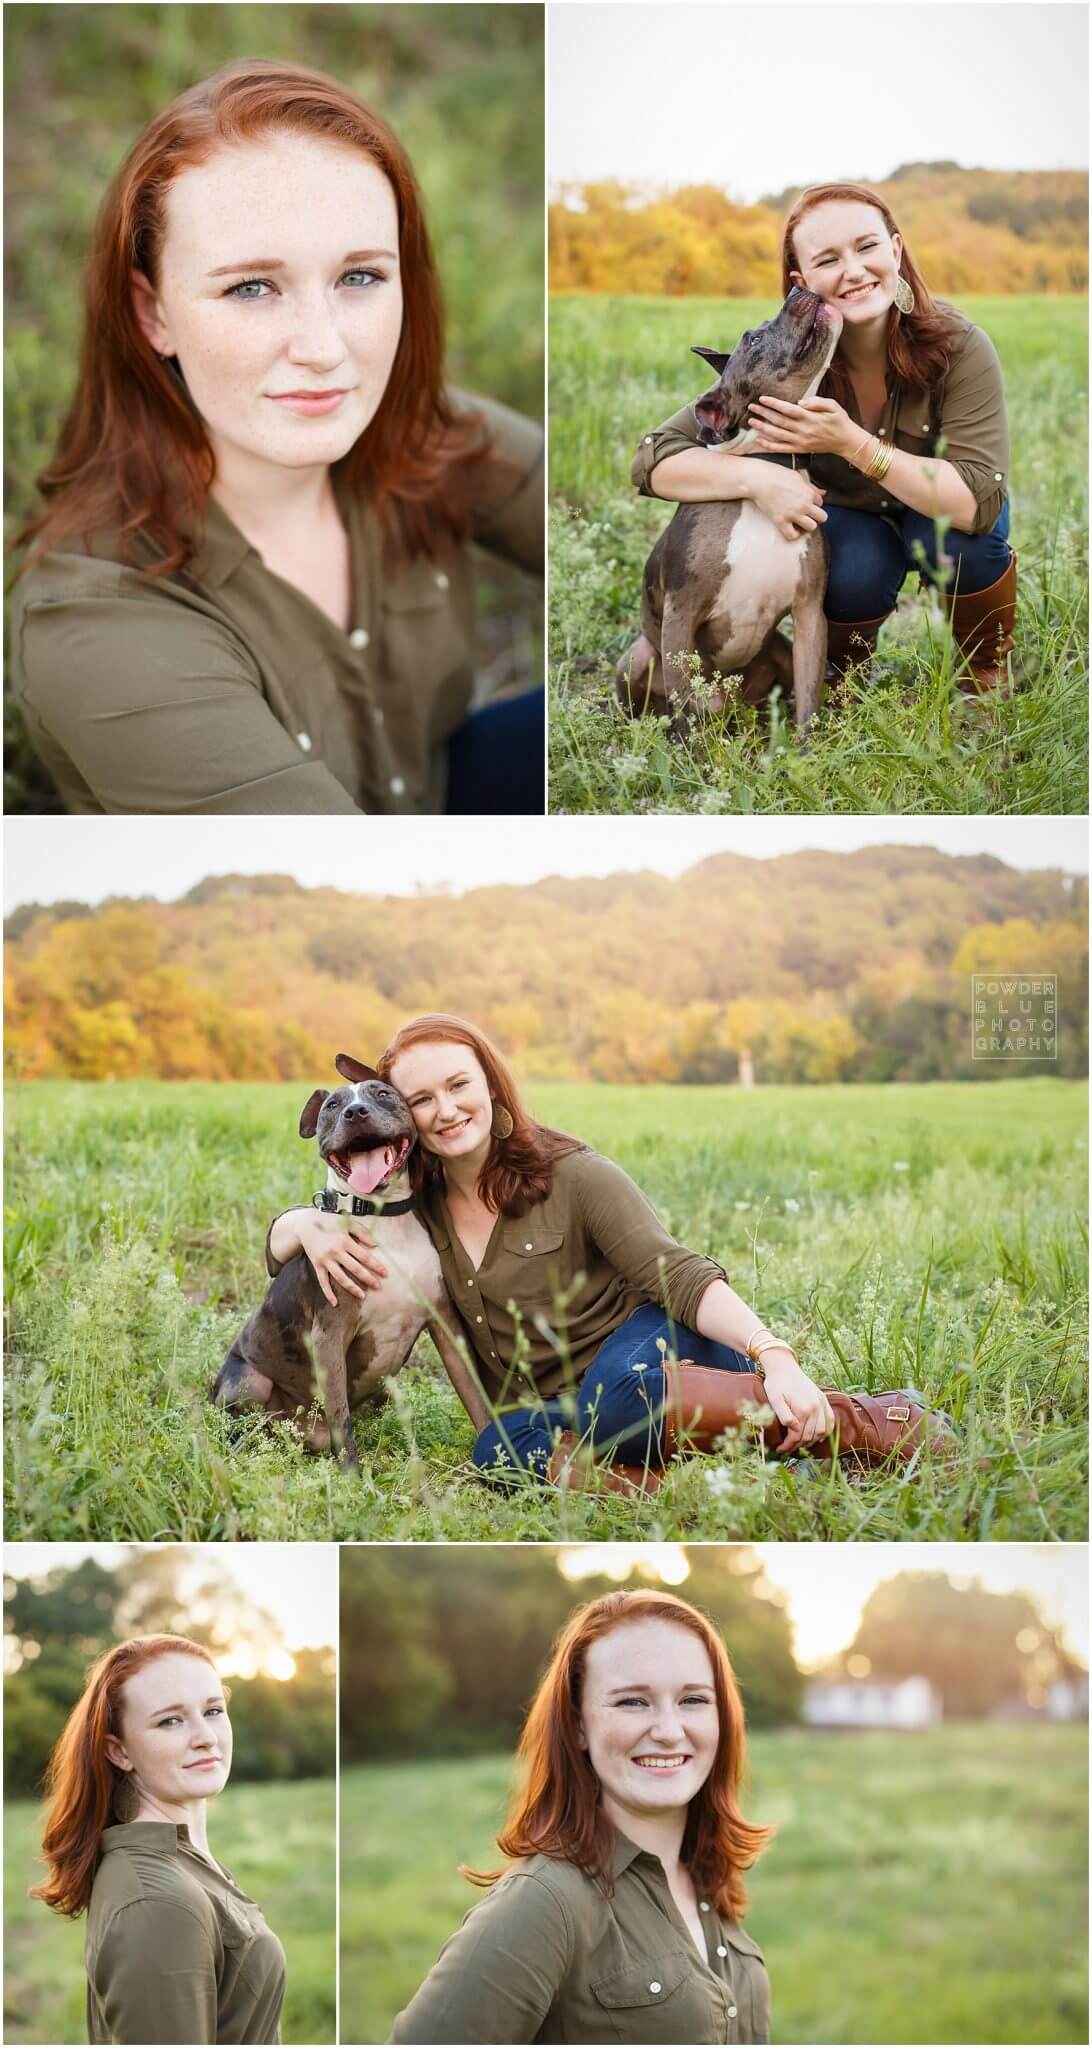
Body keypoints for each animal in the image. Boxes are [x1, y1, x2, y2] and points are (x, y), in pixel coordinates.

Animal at [213, 1056, 477, 1474]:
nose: (355, 1112)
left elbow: (477, 1395)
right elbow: (341, 1417)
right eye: (332, 1107)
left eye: (382, 1093)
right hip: (249, 1383)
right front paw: (352, 1478)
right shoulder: (329, 1335)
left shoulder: (445, 1322)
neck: (381, 1214)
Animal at [614, 286, 844, 737]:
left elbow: (809, 698)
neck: (770, 465)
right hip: (637, 656)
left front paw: (805, 750)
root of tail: (730, 706)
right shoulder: (680, 614)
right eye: (753, 340)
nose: (798, 287)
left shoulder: (809, 613)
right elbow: (684, 706)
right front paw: (690, 752)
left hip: (779, 650)